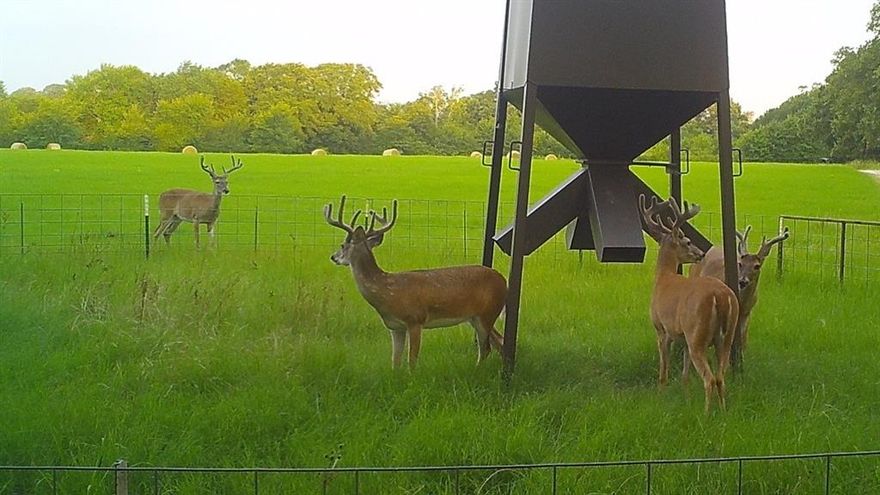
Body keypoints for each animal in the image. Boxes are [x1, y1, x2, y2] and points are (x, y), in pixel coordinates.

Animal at [324, 195, 506, 370]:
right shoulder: (395, 327)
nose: (333, 257)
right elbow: (395, 361)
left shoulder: (415, 319)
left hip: (487, 314)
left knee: (487, 348)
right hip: (475, 317)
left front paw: (412, 377)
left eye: (343, 245)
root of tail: (504, 280)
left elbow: (412, 360)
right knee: (498, 342)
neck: (387, 291)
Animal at [640, 194, 740, 413]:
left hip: (697, 335)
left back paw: (706, 415)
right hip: (725, 337)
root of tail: (720, 296)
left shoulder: (662, 330)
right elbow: (685, 376)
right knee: (720, 377)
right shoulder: (683, 337)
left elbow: (664, 372)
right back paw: (724, 411)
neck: (664, 278)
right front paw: (686, 401)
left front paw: (660, 398)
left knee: (709, 379)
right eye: (687, 241)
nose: (700, 253)